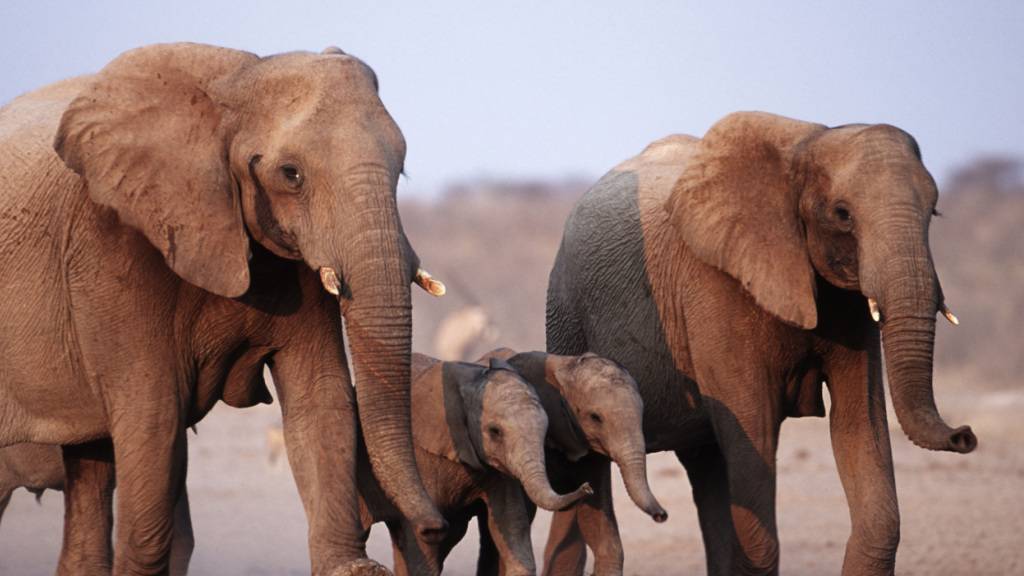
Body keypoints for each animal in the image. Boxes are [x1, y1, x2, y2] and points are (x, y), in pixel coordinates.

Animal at [0, 42, 448, 569]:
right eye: (291, 175)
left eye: (401, 168)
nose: (434, 527)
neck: (237, 82)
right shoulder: (110, 251)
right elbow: (154, 420)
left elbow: (321, 399)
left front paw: (353, 567)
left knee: (91, 468)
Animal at [356, 354, 593, 573]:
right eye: (495, 432)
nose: (586, 488)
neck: (473, 379)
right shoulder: (420, 458)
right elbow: (422, 542)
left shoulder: (499, 469)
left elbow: (511, 523)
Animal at [544, 112, 974, 573]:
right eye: (842, 214)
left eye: (934, 211)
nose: (964, 436)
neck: (805, 145)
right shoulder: (714, 286)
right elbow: (753, 431)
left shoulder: (851, 309)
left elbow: (859, 423)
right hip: (566, 318)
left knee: (707, 470)